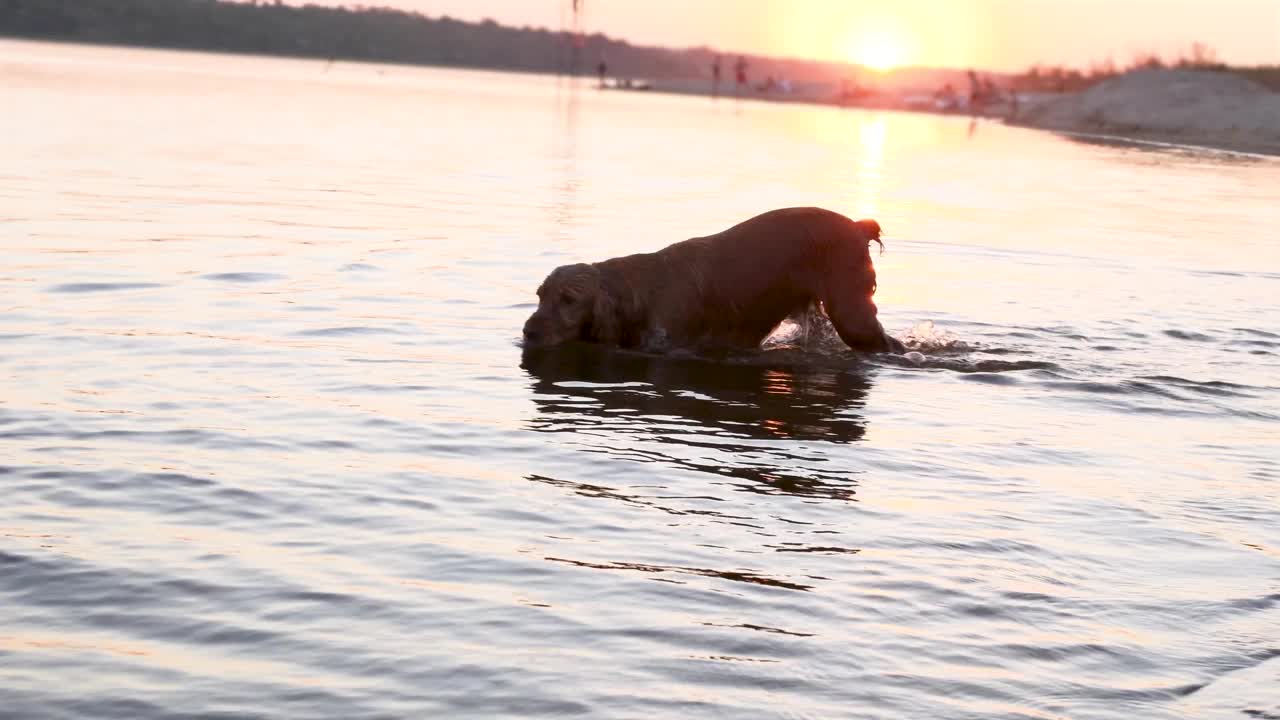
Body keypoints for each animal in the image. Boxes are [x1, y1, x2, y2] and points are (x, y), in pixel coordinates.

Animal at [519, 206, 901, 351]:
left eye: (569, 300)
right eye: (540, 295)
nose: (528, 331)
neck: (639, 294)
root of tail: (858, 226)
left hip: (852, 315)